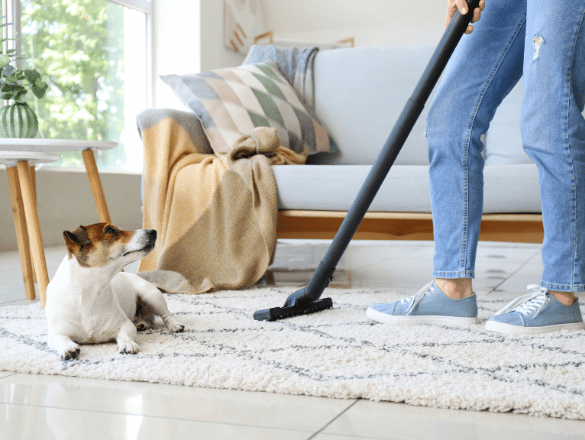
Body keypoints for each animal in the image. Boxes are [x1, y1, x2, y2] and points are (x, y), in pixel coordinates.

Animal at [44, 222, 184, 360]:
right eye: (110, 230)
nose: (153, 231)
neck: (89, 294)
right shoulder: (56, 333)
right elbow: (60, 339)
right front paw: (68, 348)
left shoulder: (125, 324)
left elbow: (124, 334)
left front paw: (127, 344)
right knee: (149, 319)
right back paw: (142, 323)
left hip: (151, 295)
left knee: (166, 315)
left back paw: (174, 325)